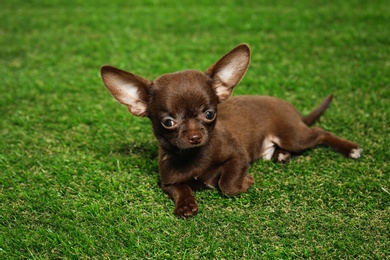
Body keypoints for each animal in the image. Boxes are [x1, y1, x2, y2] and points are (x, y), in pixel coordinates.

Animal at [100, 43, 362, 217]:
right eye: (168, 122)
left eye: (209, 114)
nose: (195, 136)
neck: (193, 158)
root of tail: (292, 110)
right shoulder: (168, 182)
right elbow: (180, 188)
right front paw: (185, 204)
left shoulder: (238, 157)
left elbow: (227, 184)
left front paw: (245, 182)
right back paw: (281, 155)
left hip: (294, 136)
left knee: (319, 133)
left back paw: (349, 149)